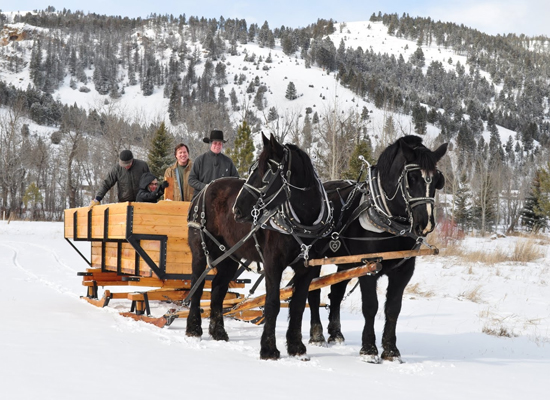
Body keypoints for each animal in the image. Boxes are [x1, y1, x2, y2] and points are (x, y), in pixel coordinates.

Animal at [188, 134, 332, 360]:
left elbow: (298, 306)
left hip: (228, 256)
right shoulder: (273, 263)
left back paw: (218, 331)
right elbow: (272, 303)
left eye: (270, 170)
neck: (303, 220)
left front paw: (296, 347)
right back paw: (193, 329)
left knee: (218, 288)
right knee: (197, 284)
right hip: (201, 252)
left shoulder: (307, 268)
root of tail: (205, 189)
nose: (237, 210)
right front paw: (269, 349)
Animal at [310, 136, 448, 364]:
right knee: (311, 290)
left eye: (437, 180)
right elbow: (370, 306)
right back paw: (317, 335)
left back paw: (335, 333)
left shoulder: (404, 271)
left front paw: (391, 351)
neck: (387, 217)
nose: (425, 224)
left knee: (335, 293)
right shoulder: (368, 266)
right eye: (412, 178)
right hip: (311, 257)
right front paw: (369, 350)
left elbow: (393, 309)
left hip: (345, 262)